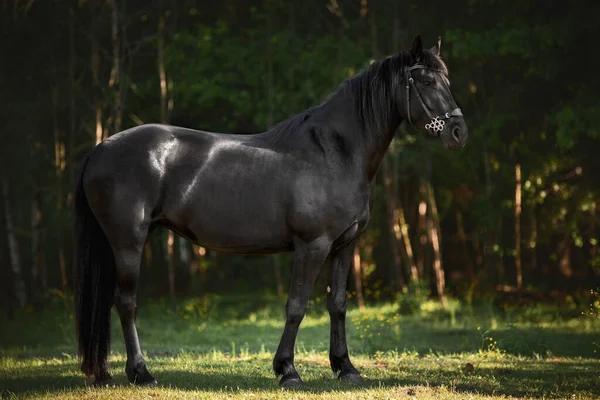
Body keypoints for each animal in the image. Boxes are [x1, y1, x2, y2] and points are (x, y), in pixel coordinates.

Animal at [74, 35, 468, 388]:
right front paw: (288, 370)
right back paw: (141, 373)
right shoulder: (312, 245)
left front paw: (346, 368)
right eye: (427, 81)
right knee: (126, 302)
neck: (334, 152)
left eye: (447, 81)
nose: (458, 132)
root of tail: (100, 149)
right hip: (128, 241)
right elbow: (297, 305)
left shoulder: (345, 245)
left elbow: (338, 304)